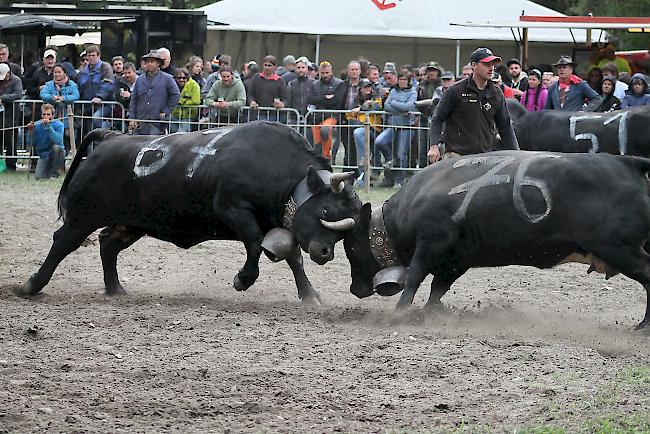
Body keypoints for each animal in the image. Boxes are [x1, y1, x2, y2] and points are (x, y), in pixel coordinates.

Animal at [10, 120, 362, 304]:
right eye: (326, 208)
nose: (326, 252)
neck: (276, 167)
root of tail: (111, 137)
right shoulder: (232, 208)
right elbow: (253, 243)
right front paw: (243, 279)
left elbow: (293, 256)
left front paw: (309, 294)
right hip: (83, 216)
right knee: (62, 242)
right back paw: (32, 285)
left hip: (132, 223)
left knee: (108, 243)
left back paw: (115, 289)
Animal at [344, 151, 650, 330]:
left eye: (353, 247)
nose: (355, 289)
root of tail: (627, 163)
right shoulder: (457, 259)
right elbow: (438, 287)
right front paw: (432, 313)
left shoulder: (431, 243)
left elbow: (414, 277)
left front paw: (400, 312)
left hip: (621, 249)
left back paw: (644, 326)